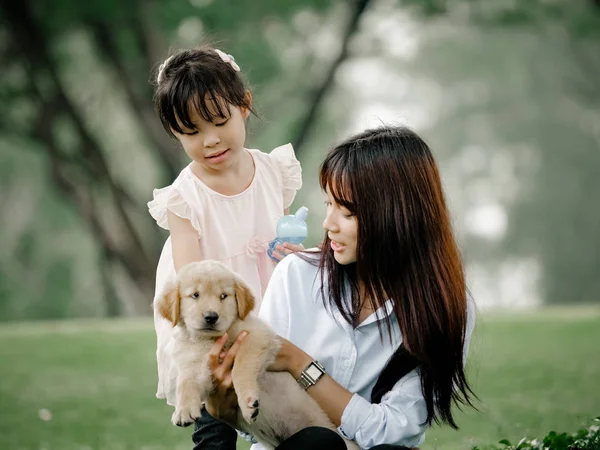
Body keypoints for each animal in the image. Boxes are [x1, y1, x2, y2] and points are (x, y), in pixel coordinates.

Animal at [157, 260, 358, 450]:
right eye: (195, 295)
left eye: (223, 296)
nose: (211, 317)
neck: (209, 340)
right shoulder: (194, 363)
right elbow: (186, 383)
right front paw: (183, 410)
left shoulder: (256, 336)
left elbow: (240, 369)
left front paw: (247, 403)